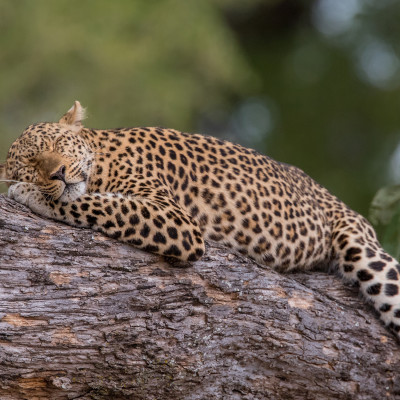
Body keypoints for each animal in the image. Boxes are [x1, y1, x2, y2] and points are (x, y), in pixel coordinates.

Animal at [0, 101, 400, 340]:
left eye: (57, 145)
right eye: (33, 164)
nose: (58, 173)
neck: (103, 156)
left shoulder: (175, 218)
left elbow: (95, 203)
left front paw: (30, 194)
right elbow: (93, 200)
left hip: (362, 250)